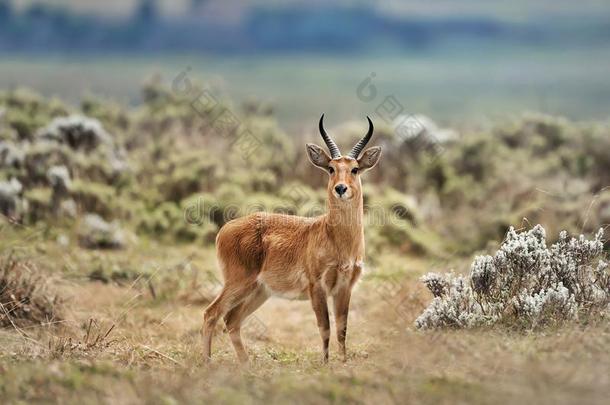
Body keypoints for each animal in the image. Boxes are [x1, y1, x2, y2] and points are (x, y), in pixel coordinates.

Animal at [202, 114, 378, 362]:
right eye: (331, 168)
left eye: (355, 169)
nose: (341, 188)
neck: (337, 239)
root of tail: (224, 230)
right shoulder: (317, 287)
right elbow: (325, 327)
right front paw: (325, 363)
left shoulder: (345, 288)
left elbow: (342, 329)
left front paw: (343, 362)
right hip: (239, 282)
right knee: (211, 313)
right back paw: (207, 363)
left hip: (259, 290)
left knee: (232, 320)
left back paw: (246, 364)